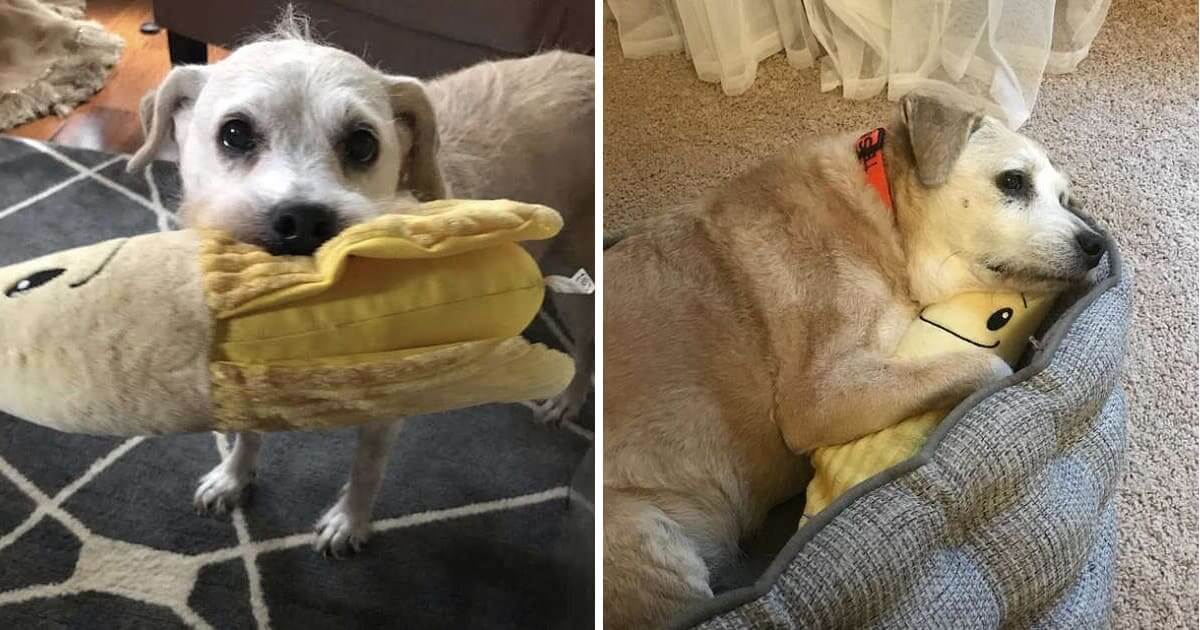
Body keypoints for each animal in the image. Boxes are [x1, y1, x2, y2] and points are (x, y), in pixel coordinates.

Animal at [127, 17, 595, 552]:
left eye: (362, 143)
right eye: (235, 133)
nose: (302, 221)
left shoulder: (384, 409)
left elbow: (367, 468)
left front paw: (349, 522)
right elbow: (247, 433)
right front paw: (233, 477)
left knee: (590, 349)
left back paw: (566, 399)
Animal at [604, 90, 1099, 624]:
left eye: (1064, 198)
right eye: (1012, 181)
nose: (1095, 245)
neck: (887, 221)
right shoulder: (819, 399)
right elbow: (986, 365)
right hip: (648, 544)